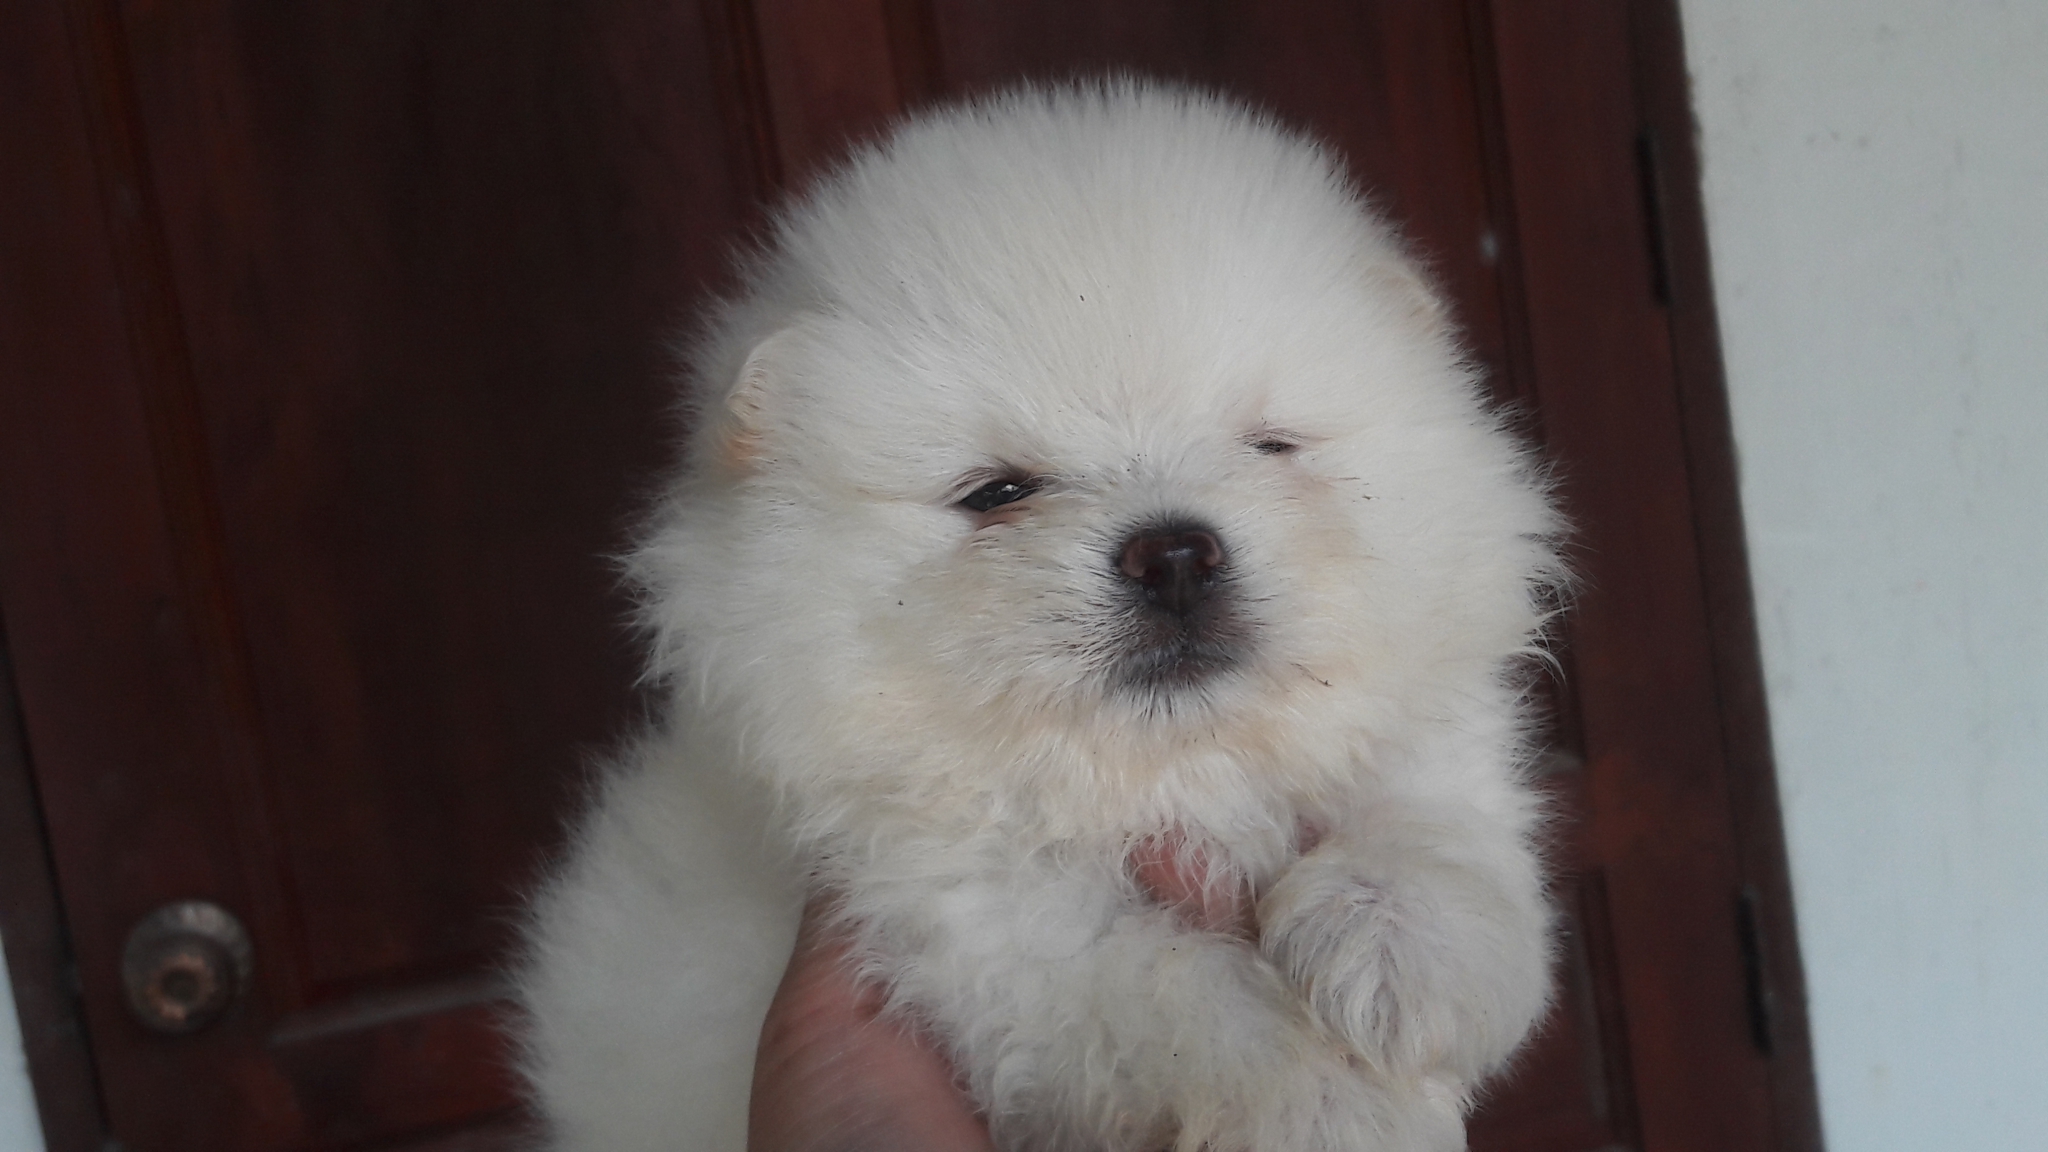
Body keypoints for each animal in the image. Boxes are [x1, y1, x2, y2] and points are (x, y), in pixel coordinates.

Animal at [519, 81, 1565, 1152]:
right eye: (999, 493)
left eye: (1270, 445)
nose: (1174, 554)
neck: (1167, 780)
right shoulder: (985, 933)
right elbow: (1186, 1002)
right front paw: (1334, 1106)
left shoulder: (1437, 744)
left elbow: (1429, 815)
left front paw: (1398, 954)